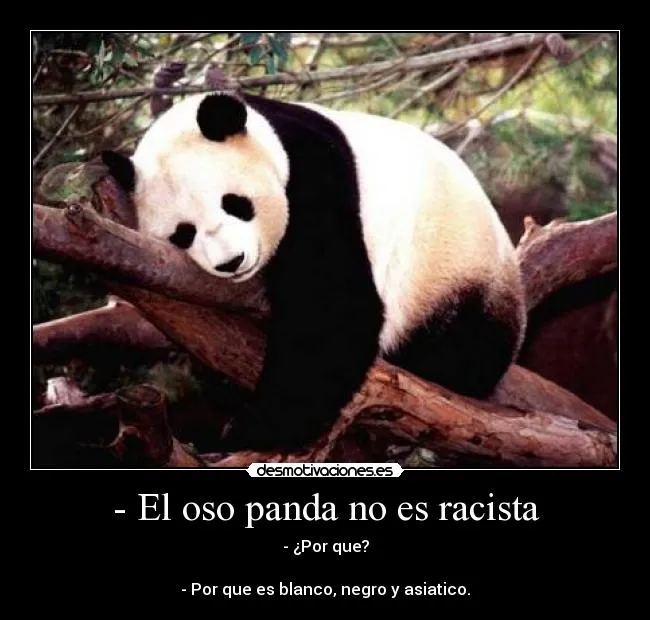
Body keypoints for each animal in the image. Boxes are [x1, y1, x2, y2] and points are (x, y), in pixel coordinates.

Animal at [102, 91, 527, 452]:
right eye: (183, 233)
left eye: (235, 203)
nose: (231, 262)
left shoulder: (314, 175)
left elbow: (332, 309)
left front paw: (249, 430)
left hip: (451, 264)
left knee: (464, 347)